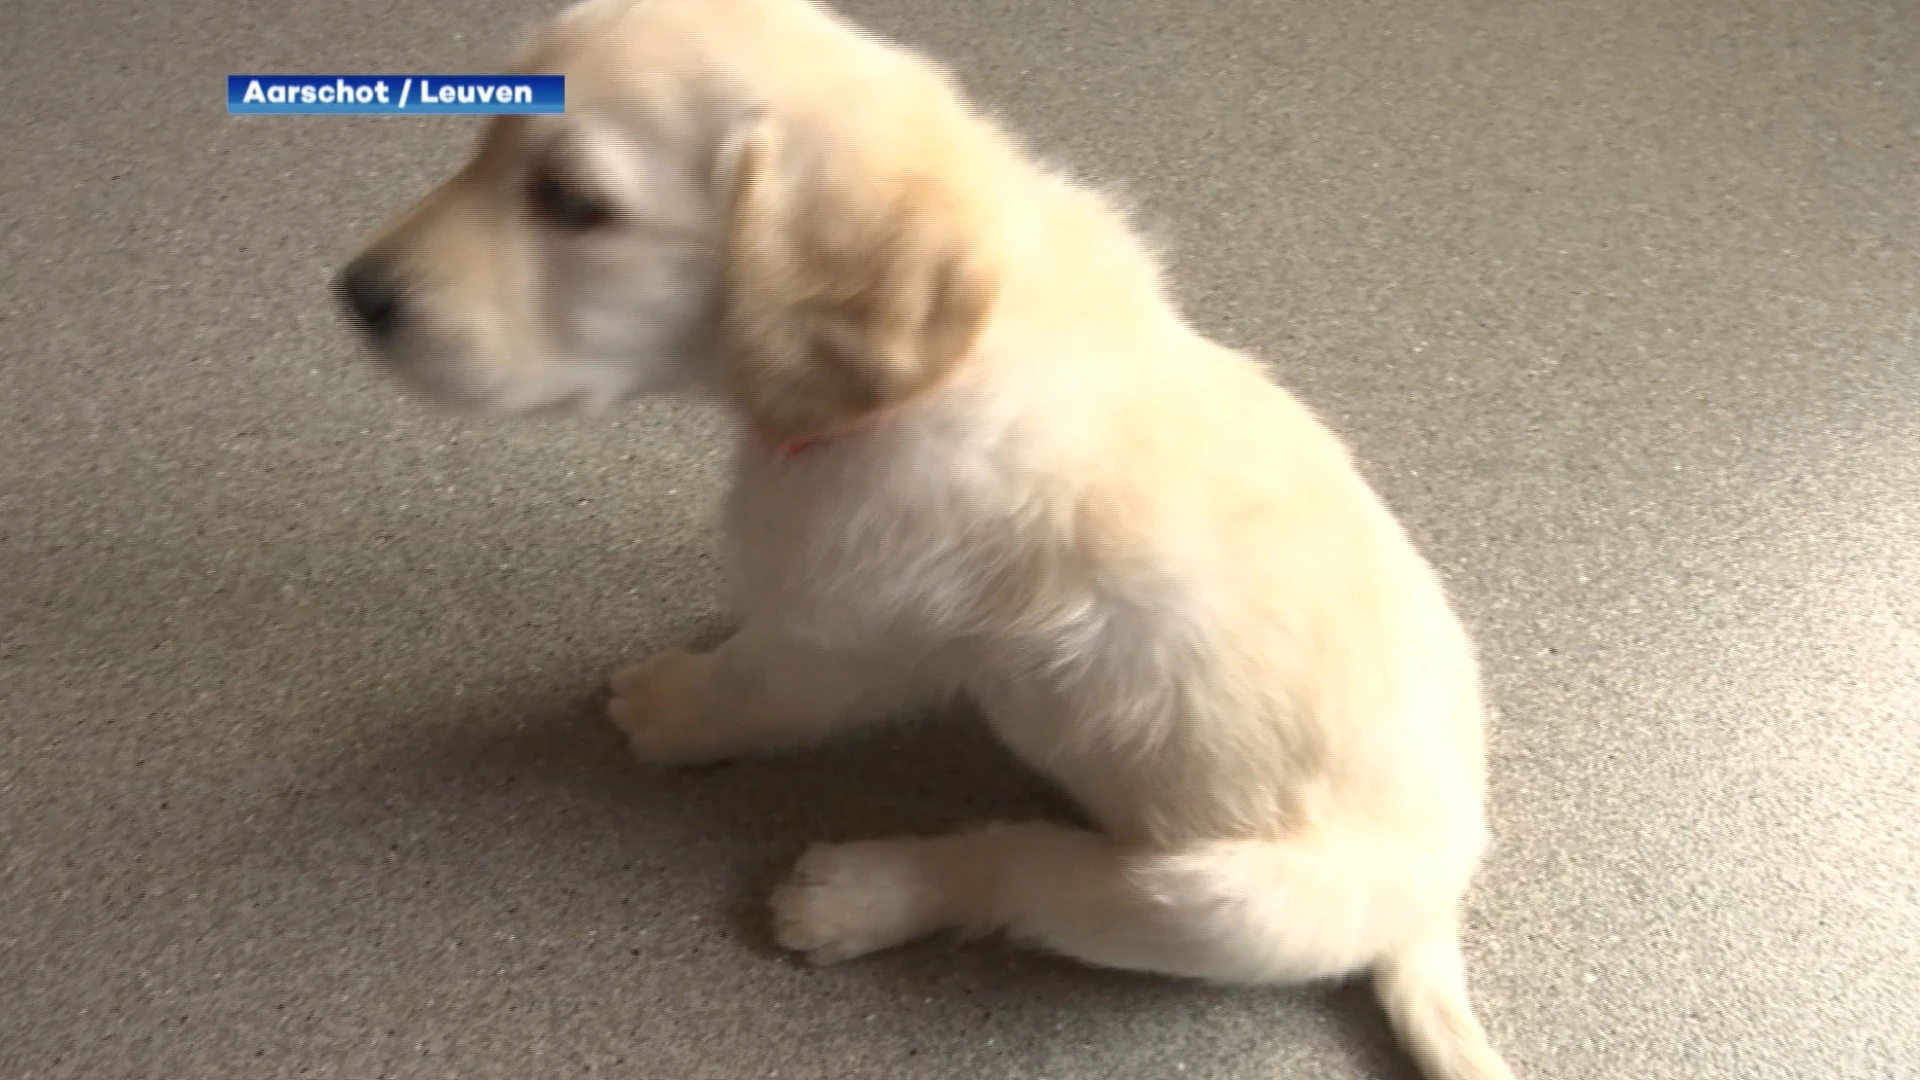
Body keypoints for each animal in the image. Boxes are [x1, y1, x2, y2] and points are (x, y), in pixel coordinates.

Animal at [341, 2, 1512, 1076]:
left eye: (573, 204)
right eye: (484, 145)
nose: (357, 294)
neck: (949, 362)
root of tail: (1434, 912)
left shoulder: (847, 635)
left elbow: (749, 683)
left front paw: (673, 706)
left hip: (1218, 904)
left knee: (1024, 870)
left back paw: (864, 893)